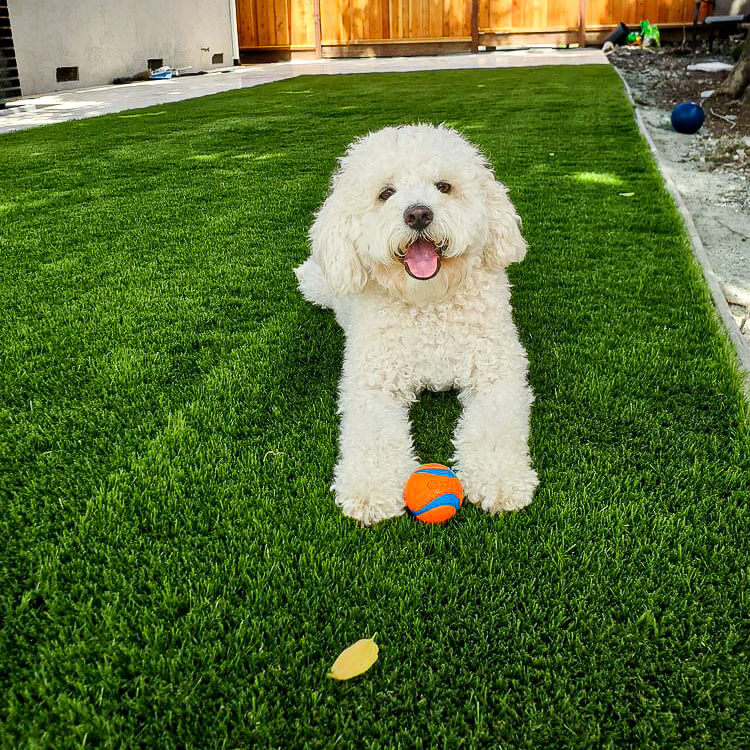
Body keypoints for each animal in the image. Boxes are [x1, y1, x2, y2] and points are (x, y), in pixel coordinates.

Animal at [296, 123, 540, 524]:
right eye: (385, 193)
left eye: (444, 186)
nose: (418, 214)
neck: (428, 305)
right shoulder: (371, 383)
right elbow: (373, 438)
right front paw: (370, 491)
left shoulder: (498, 372)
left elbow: (494, 429)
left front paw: (500, 480)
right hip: (322, 284)